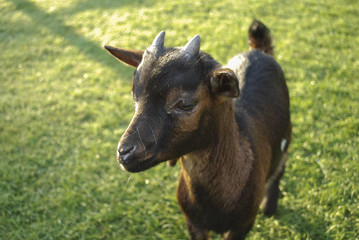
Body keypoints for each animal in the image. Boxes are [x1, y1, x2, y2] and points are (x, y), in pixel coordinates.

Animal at [105, 19, 292, 239]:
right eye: (135, 95)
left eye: (185, 103)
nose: (124, 153)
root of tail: (258, 49)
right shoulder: (193, 222)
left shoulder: (243, 224)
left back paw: (269, 207)